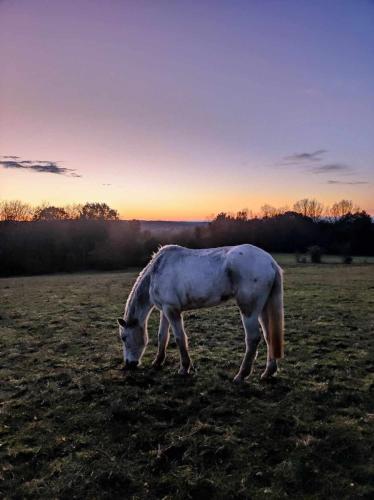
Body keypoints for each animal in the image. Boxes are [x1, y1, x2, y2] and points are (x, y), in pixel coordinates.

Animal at [117, 245, 284, 382]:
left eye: (124, 337)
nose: (129, 364)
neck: (156, 272)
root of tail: (270, 262)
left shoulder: (171, 310)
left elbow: (180, 338)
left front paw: (184, 368)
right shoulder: (165, 310)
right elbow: (162, 336)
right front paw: (158, 362)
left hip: (249, 310)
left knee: (253, 339)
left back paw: (241, 375)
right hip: (263, 309)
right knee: (269, 336)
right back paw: (268, 372)